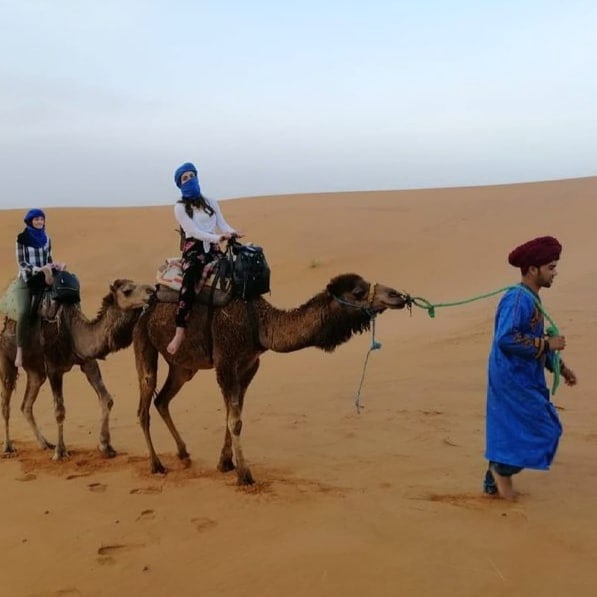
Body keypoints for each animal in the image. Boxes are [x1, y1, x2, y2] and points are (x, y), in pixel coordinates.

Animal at [0, 280, 154, 460]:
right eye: (127, 291)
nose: (152, 291)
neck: (73, 331)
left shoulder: (88, 361)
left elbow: (107, 399)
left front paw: (105, 446)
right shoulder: (54, 369)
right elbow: (59, 410)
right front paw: (60, 452)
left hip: (35, 370)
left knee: (26, 405)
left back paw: (45, 443)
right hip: (7, 359)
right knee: (6, 402)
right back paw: (8, 447)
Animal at [132, 274, 408, 484]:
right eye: (359, 291)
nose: (397, 295)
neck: (261, 324)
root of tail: (146, 307)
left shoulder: (248, 365)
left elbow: (232, 416)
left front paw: (225, 463)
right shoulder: (226, 360)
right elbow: (235, 421)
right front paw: (245, 475)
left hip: (182, 366)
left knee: (162, 400)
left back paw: (184, 453)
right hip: (143, 341)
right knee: (145, 402)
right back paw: (156, 465)